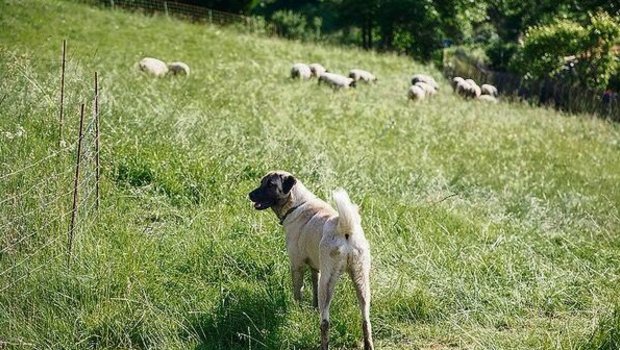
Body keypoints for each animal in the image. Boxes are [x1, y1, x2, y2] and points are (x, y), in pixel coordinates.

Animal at [247, 172, 372, 350]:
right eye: (261, 183)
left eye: (270, 185)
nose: (250, 195)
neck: (296, 204)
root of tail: (345, 229)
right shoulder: (315, 269)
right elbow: (313, 291)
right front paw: (313, 309)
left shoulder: (296, 266)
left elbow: (297, 293)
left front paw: (297, 311)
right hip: (361, 282)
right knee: (365, 321)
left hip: (327, 283)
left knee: (325, 323)